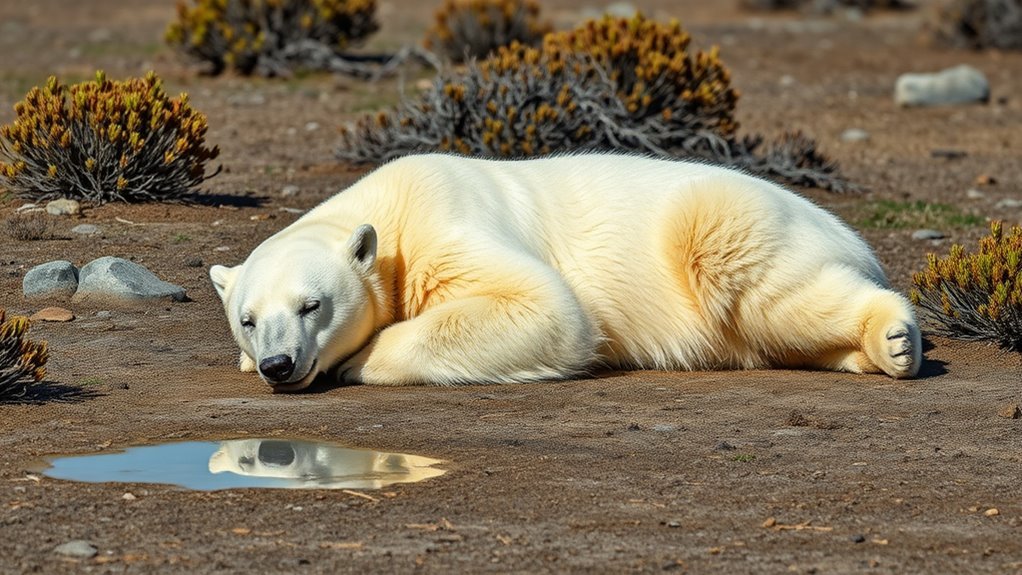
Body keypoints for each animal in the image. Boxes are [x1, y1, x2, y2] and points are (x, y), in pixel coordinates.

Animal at [210, 153, 922, 392]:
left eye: (312, 305)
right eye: (248, 320)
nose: (277, 365)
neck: (389, 209)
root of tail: (848, 234)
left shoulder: (445, 223)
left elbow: (545, 307)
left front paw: (356, 358)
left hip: (723, 221)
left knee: (765, 286)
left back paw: (892, 338)